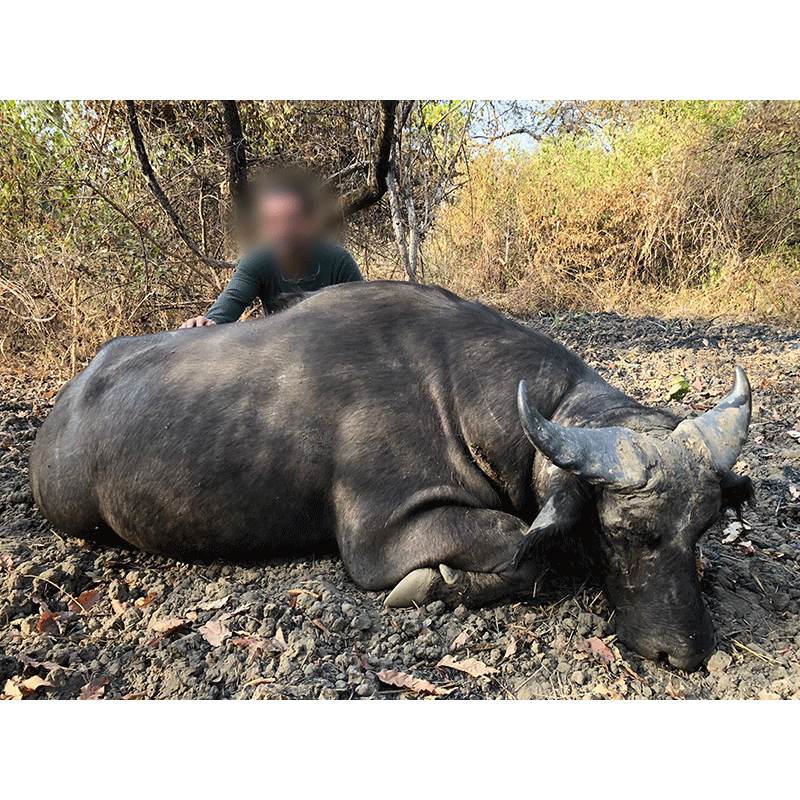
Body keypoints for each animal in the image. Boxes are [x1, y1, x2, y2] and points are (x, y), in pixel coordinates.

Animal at [29, 282, 752, 668]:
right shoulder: (382, 539)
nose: (683, 651)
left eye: (700, 528)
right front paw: (436, 585)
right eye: (622, 534)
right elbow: (522, 553)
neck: (449, 384)